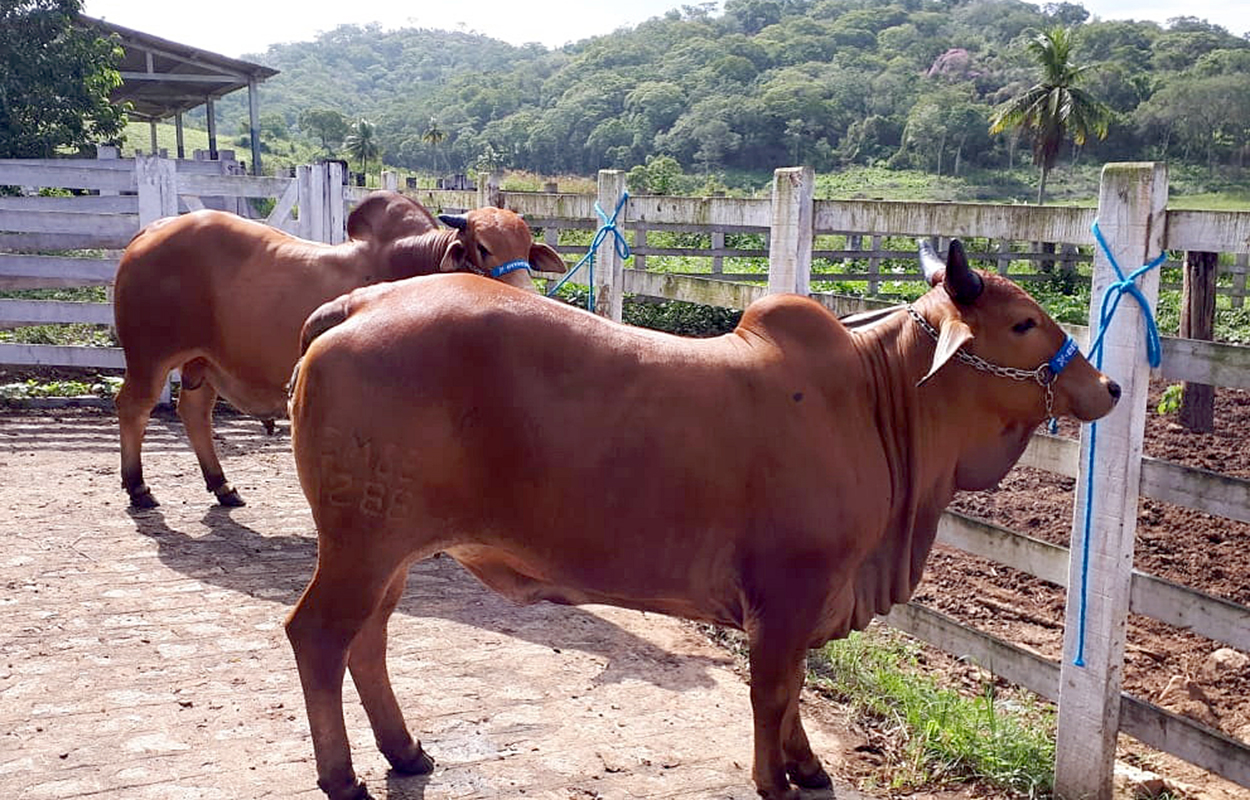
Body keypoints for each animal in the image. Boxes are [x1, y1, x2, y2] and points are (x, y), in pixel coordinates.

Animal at [112, 188, 562, 505]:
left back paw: (222, 486)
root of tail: (150, 230)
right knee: (133, 406)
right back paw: (138, 488)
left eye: (527, 250)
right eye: (483, 248)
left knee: (194, 413)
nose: (529, 297)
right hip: (149, 356)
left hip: (203, 361)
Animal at [286, 238, 1125, 800]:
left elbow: (792, 690)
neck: (875, 398)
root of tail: (352, 306)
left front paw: (805, 764)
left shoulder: (807, 599)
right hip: (362, 545)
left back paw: (404, 751)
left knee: (369, 638)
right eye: (1024, 323)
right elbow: (773, 689)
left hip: (389, 550)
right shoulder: (789, 591)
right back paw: (344, 775)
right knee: (319, 636)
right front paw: (776, 778)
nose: (1110, 387)